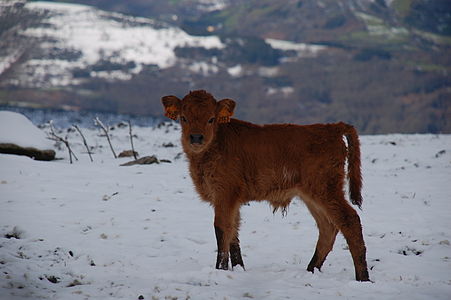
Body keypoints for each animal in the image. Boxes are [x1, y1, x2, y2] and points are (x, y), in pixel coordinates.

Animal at [162, 89, 370, 282]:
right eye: (183, 117)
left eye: (211, 119)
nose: (196, 138)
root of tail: (332, 128)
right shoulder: (231, 199)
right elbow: (233, 231)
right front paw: (239, 268)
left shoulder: (224, 194)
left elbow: (222, 229)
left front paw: (220, 270)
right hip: (311, 196)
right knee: (328, 227)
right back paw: (311, 270)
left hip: (326, 189)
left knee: (349, 220)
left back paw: (362, 277)